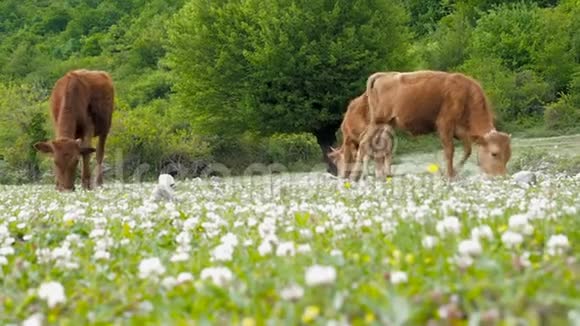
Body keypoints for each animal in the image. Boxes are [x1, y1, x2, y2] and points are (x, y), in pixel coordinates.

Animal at [348, 70, 508, 181]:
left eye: (508, 156)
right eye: (494, 153)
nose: (500, 177)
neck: (466, 94)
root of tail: (383, 75)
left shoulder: (461, 131)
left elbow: (467, 150)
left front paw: (454, 172)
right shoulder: (445, 126)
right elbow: (449, 151)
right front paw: (449, 175)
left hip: (386, 124)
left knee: (377, 146)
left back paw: (382, 176)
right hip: (378, 122)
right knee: (364, 143)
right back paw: (355, 177)